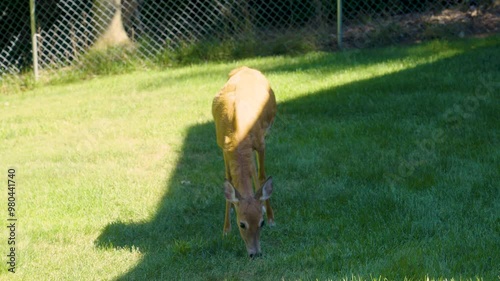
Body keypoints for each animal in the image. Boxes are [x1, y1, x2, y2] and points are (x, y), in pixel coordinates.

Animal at [212, 66, 278, 258]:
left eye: (261, 223)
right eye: (242, 224)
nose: (255, 253)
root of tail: (246, 67)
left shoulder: (260, 143)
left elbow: (262, 178)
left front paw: (271, 217)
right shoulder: (223, 147)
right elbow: (228, 181)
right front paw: (226, 229)